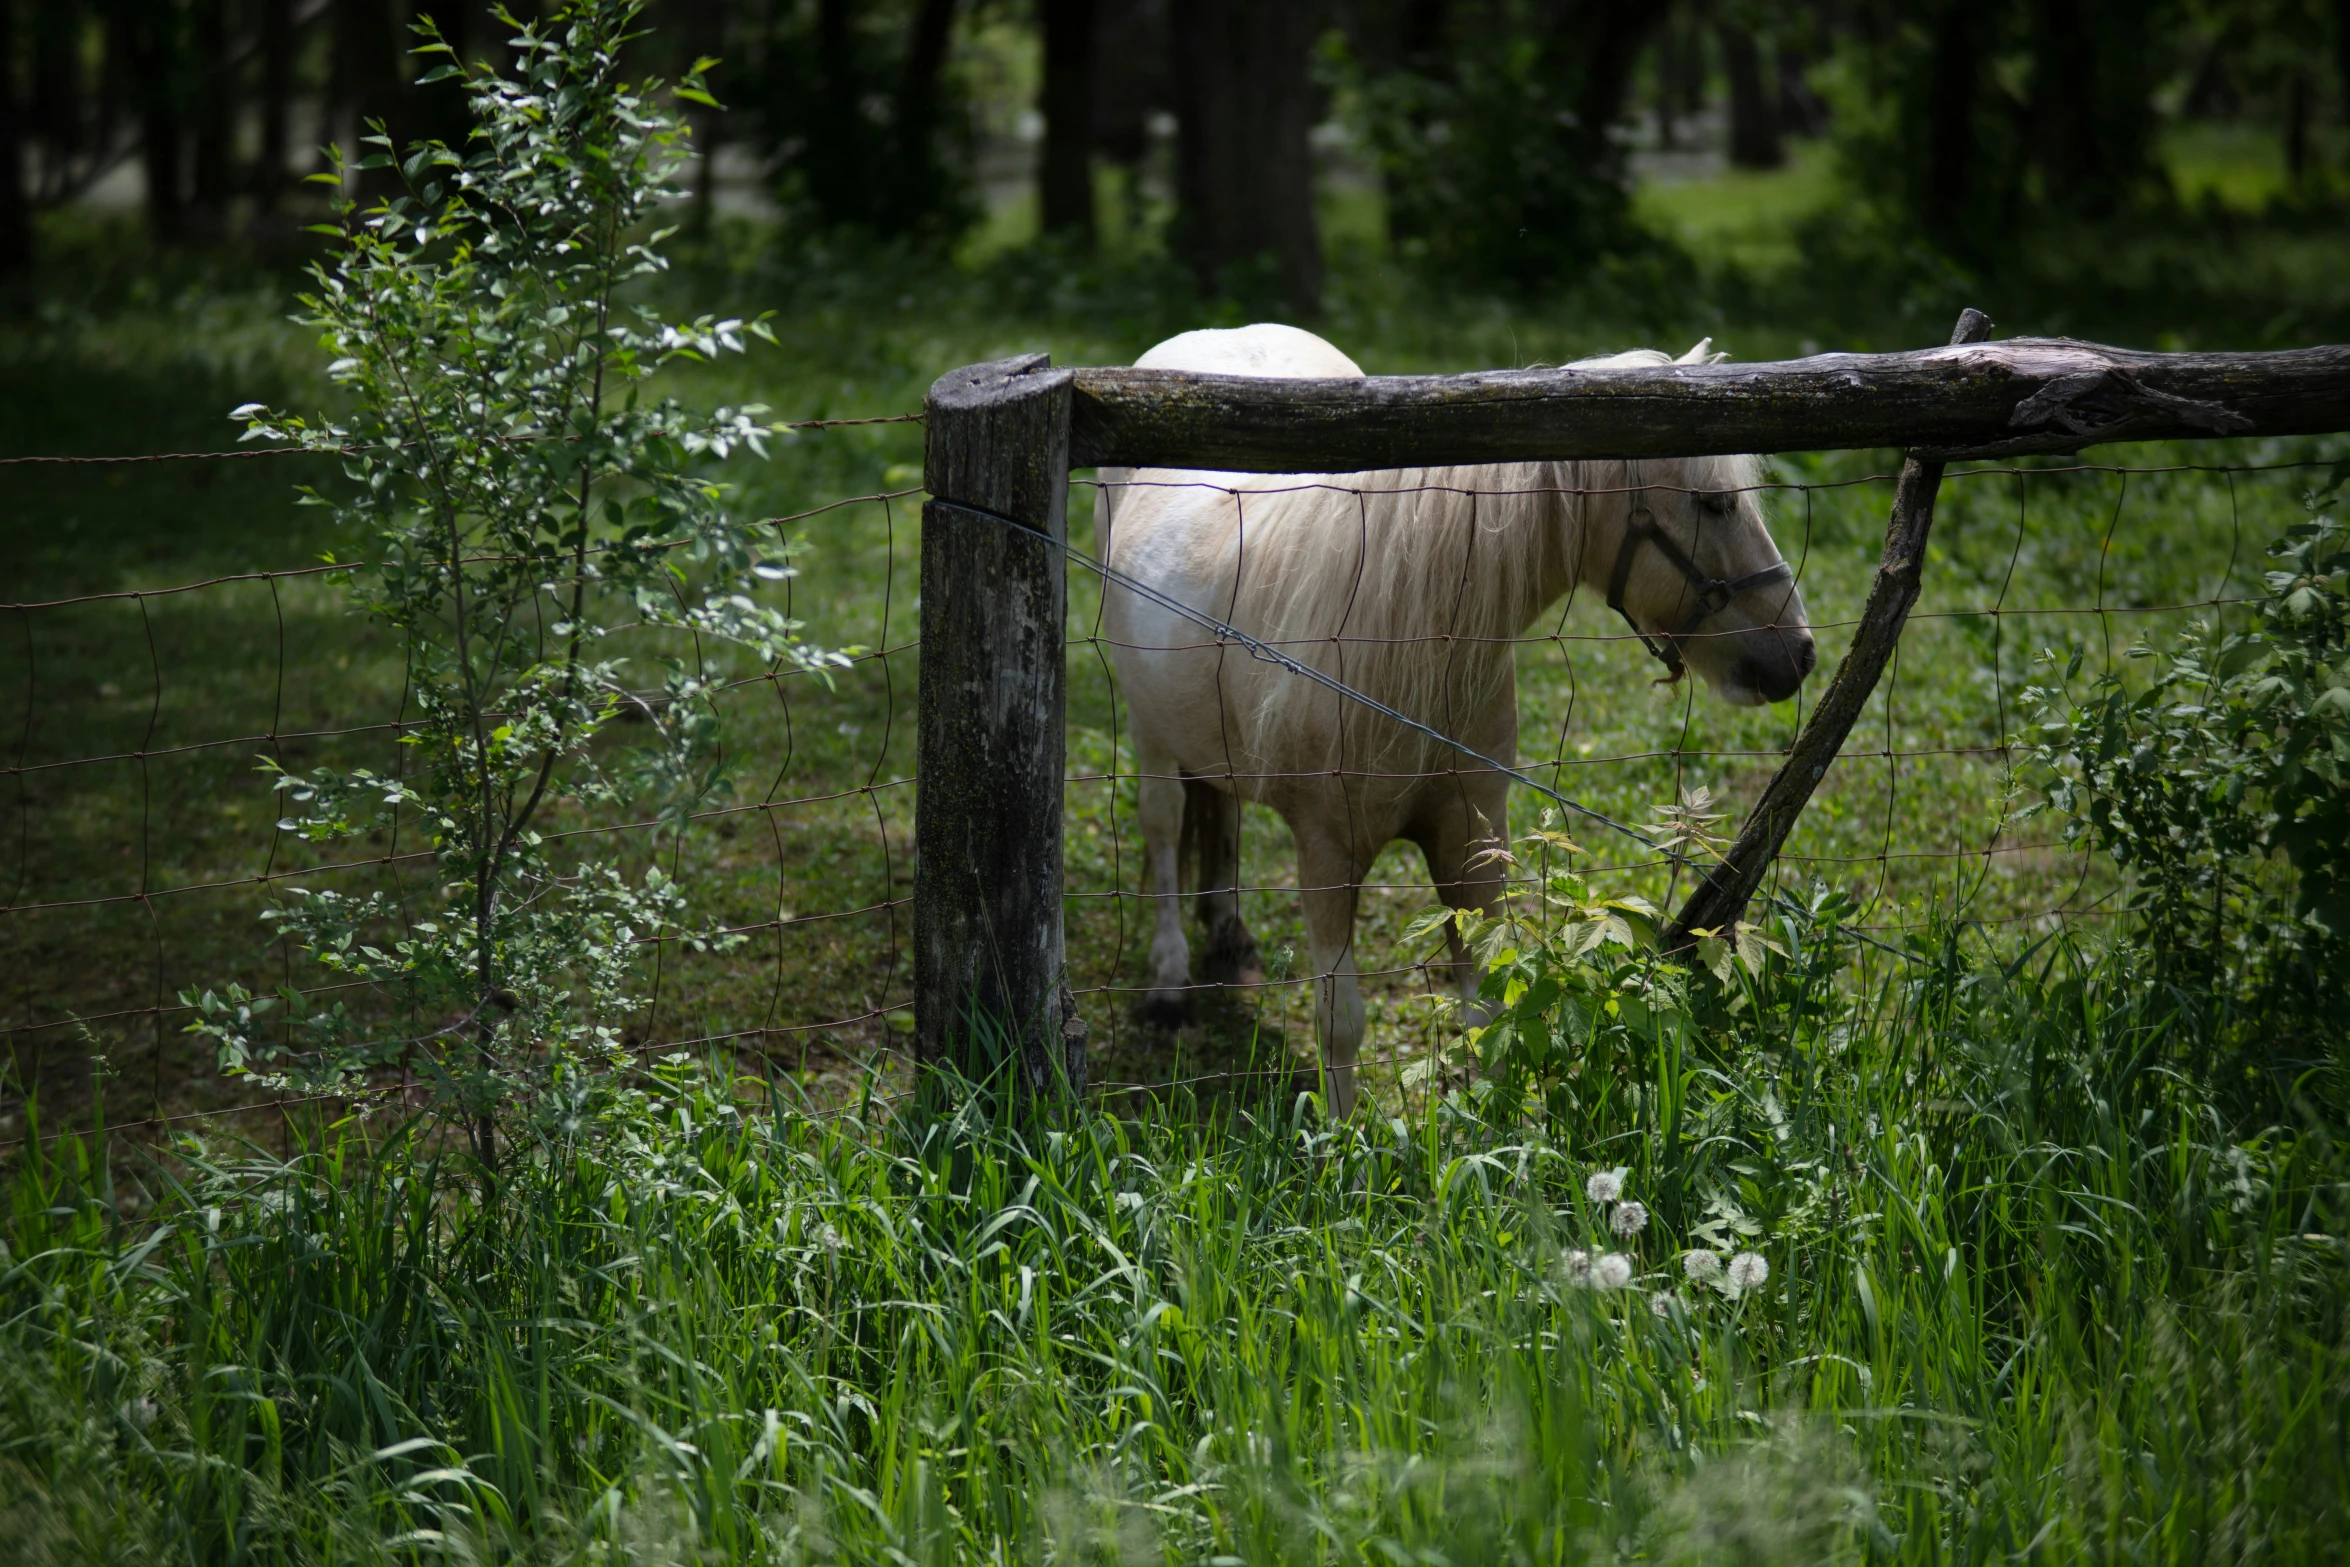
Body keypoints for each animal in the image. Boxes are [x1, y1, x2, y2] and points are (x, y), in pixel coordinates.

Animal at [1099, 328, 1814, 1113]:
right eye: (1714, 504)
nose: (1798, 653)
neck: (1407, 647)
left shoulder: (1471, 839)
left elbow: (1490, 1012)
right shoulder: (1326, 855)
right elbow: (1341, 1022)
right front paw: (1343, 1139)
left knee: (1218, 810)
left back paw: (1228, 938)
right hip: (1149, 731)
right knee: (1164, 824)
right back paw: (1170, 984)